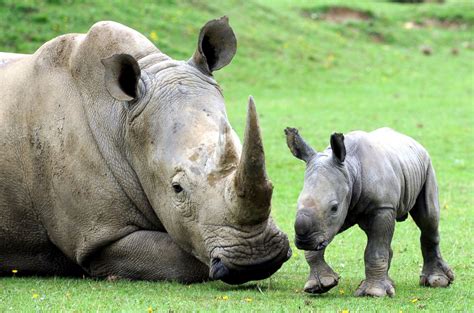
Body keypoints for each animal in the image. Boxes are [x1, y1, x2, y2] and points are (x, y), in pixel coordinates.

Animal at [284, 127, 454, 298]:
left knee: (428, 220)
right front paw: (319, 285)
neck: (350, 169)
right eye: (297, 204)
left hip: (427, 166)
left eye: (334, 208)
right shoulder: (335, 217)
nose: (304, 241)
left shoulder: (382, 207)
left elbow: (375, 251)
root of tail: (412, 141)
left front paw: (373, 293)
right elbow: (316, 246)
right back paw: (390, 284)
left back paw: (437, 282)